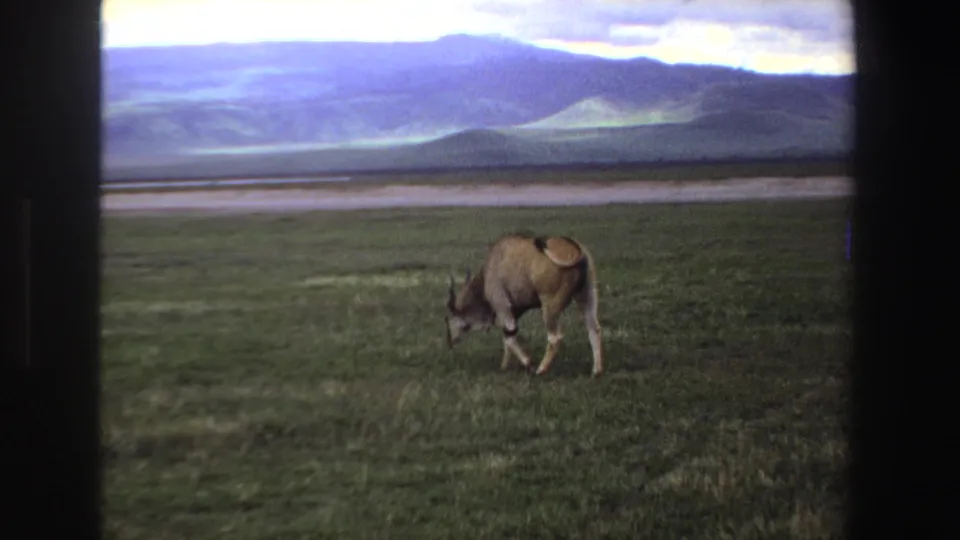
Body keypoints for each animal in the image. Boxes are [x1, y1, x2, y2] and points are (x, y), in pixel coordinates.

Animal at [444, 233, 603, 377]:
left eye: (448, 319)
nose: (450, 342)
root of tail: (578, 250)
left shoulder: (502, 306)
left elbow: (509, 336)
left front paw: (528, 363)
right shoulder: (513, 312)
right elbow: (508, 335)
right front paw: (504, 366)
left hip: (549, 307)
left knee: (555, 338)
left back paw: (541, 370)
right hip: (587, 297)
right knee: (594, 329)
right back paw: (597, 370)